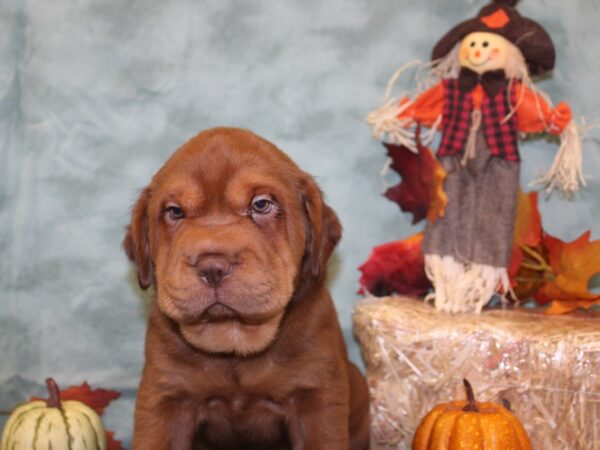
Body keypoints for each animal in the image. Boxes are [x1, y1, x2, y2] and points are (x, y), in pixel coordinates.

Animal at [123, 127, 368, 450]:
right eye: (174, 212)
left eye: (261, 204)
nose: (212, 266)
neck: (233, 341)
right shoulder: (165, 396)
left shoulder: (316, 395)